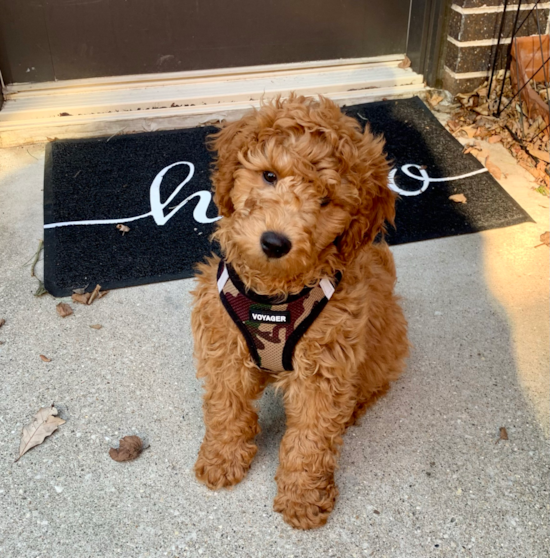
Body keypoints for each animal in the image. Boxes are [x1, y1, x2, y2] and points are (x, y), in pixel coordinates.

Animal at [191, 94, 410, 532]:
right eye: (269, 175)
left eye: (326, 201)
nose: (275, 242)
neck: (273, 296)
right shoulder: (224, 344)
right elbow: (225, 406)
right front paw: (222, 457)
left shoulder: (325, 367)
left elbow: (310, 438)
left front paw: (303, 497)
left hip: (385, 336)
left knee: (374, 380)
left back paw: (354, 407)